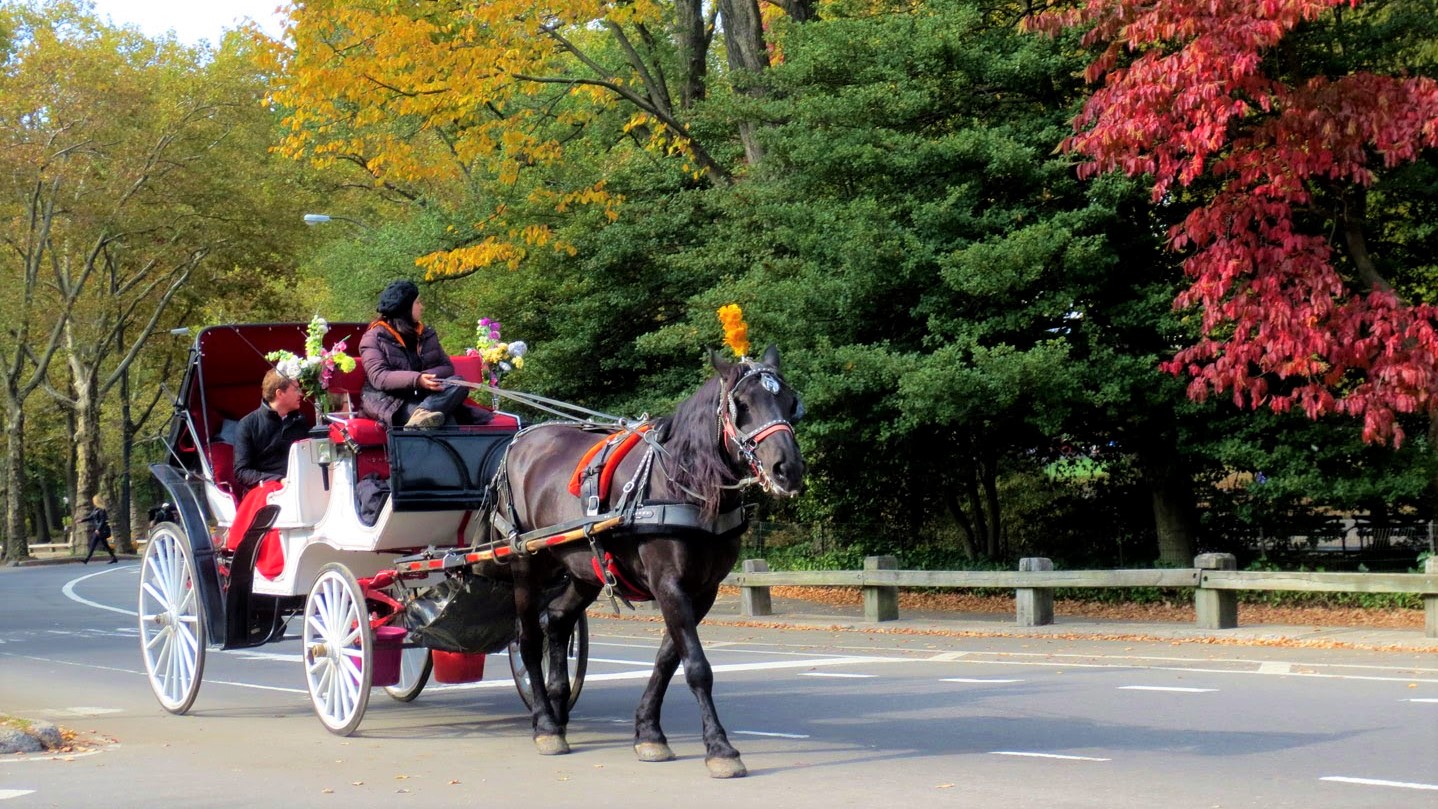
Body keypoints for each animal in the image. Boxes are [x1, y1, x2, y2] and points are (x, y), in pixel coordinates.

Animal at [480, 346, 799, 775]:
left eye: (791, 402)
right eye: (742, 406)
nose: (788, 468)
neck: (684, 484)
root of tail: (519, 442)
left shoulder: (703, 591)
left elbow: (668, 660)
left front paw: (648, 732)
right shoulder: (668, 584)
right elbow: (697, 666)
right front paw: (720, 747)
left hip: (584, 569)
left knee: (558, 621)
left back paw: (559, 711)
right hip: (527, 565)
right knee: (529, 639)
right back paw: (545, 723)